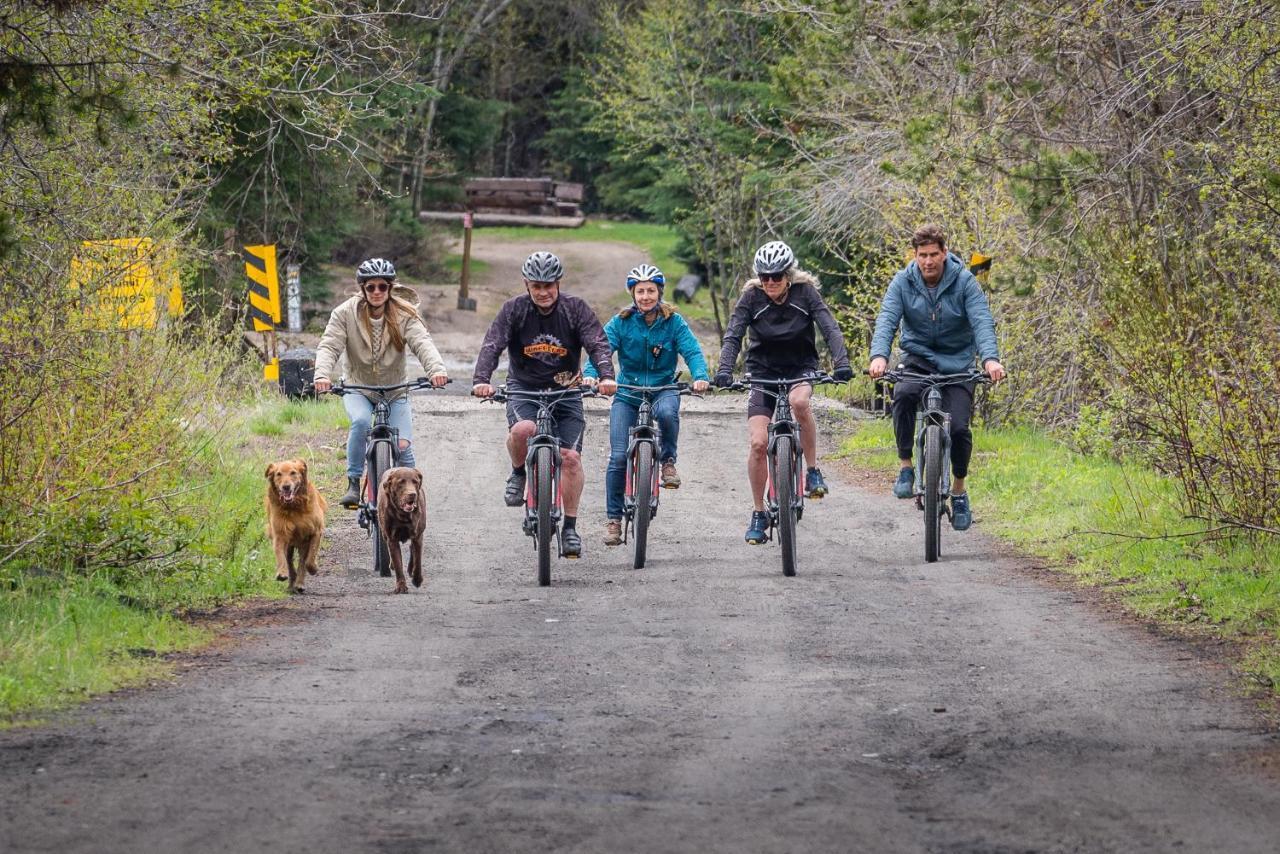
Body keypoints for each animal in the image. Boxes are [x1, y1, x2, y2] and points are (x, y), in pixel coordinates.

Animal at [262, 460, 325, 594]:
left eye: (293, 473)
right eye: (278, 474)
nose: (286, 487)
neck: (293, 506)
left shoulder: (315, 532)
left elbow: (309, 560)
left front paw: (314, 569)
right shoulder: (280, 534)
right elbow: (280, 555)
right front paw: (281, 573)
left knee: (302, 561)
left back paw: (299, 584)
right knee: (290, 562)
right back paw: (292, 583)